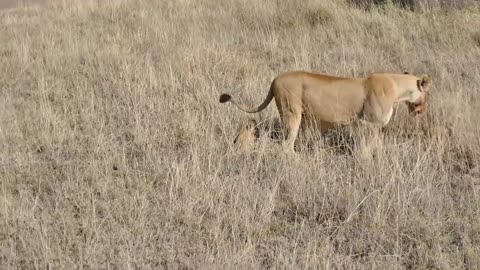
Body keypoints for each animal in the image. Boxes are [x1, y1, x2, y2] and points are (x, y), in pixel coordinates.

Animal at [219, 71, 434, 152]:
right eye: (428, 93)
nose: (423, 109)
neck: (398, 90)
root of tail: (275, 79)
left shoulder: (375, 127)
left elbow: (378, 147)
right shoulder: (366, 123)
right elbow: (367, 148)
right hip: (292, 113)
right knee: (286, 145)